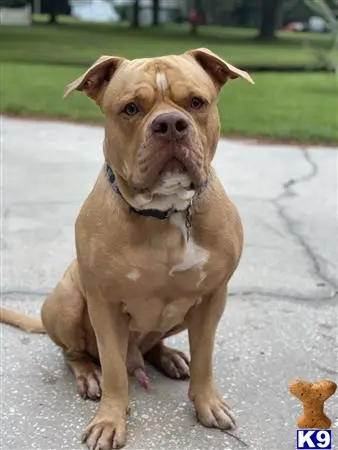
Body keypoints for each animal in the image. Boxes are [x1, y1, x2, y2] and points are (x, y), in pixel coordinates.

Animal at [0, 49, 254, 450]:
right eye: (131, 108)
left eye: (197, 102)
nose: (170, 123)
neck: (165, 211)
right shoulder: (104, 305)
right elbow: (115, 371)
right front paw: (110, 419)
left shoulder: (213, 298)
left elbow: (205, 358)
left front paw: (207, 403)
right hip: (68, 301)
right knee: (75, 353)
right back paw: (89, 374)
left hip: (181, 314)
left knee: (154, 344)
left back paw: (169, 357)